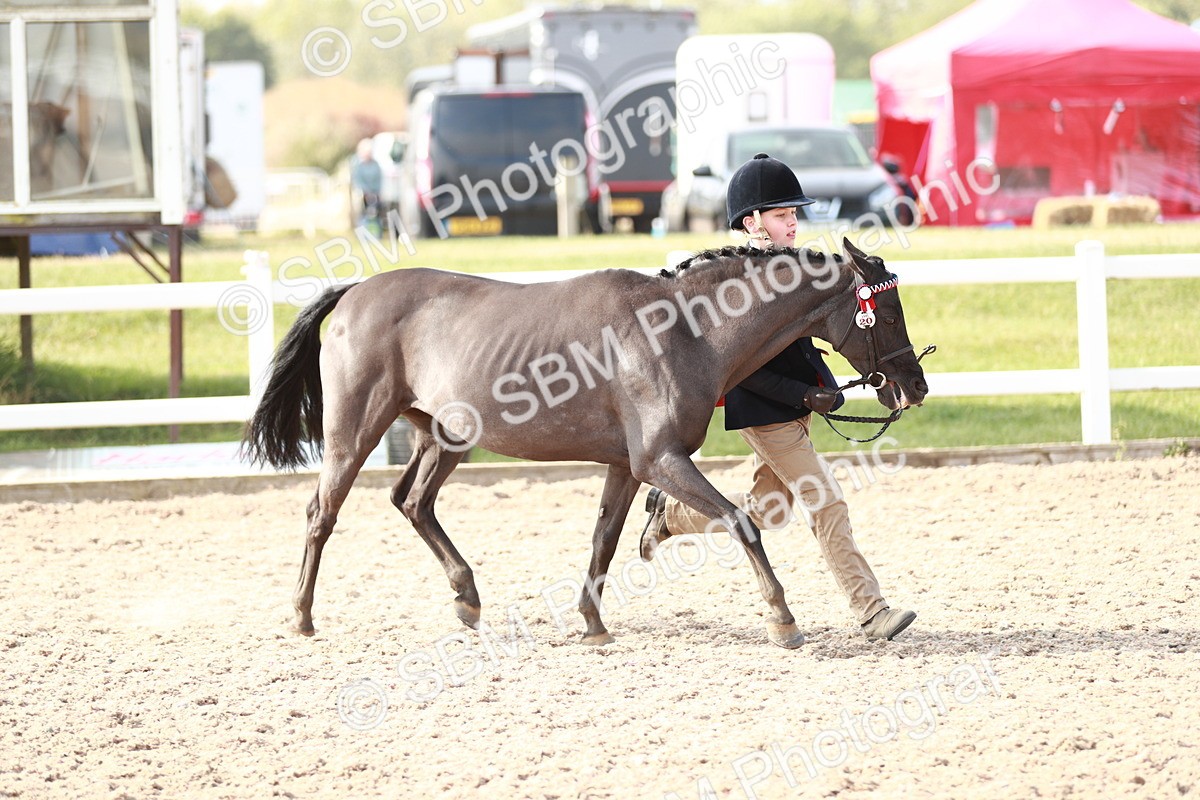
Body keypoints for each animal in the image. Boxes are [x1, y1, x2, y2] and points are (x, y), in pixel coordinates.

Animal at [242, 238, 929, 648]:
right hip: (354, 432)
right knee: (323, 513)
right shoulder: (660, 459)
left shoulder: (627, 467)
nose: (915, 385)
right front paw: (783, 620)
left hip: (446, 436)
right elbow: (740, 523)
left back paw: (467, 598)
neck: (681, 331)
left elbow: (606, 538)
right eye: (889, 311)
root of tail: (354, 292)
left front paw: (594, 624)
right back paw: (302, 616)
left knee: (413, 503)